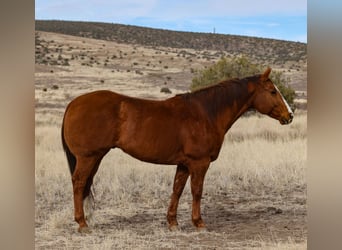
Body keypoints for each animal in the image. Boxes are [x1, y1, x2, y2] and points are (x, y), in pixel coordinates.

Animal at [61, 67, 294, 232]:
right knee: (79, 183)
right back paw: (82, 224)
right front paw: (199, 223)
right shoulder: (199, 163)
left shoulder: (183, 164)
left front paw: (173, 222)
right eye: (273, 91)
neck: (206, 113)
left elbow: (177, 189)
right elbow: (197, 191)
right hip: (88, 157)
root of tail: (73, 104)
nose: (290, 115)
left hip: (96, 157)